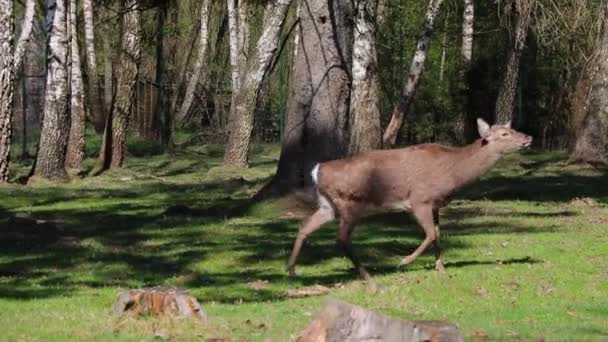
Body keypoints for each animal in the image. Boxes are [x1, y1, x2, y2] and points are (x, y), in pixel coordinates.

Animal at [288, 119, 528, 284]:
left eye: (512, 129)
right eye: (505, 133)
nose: (528, 138)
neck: (451, 173)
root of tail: (317, 171)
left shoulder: (435, 204)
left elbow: (438, 234)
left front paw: (440, 268)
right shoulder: (419, 199)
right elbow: (430, 234)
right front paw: (404, 261)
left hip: (328, 206)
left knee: (305, 227)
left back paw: (291, 269)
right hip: (350, 202)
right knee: (341, 238)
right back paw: (367, 275)